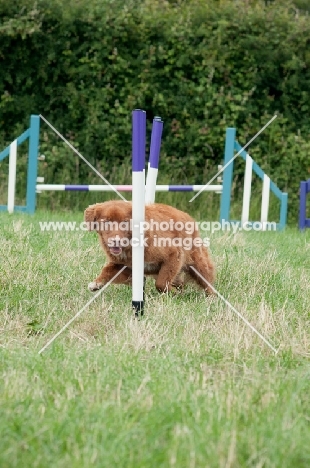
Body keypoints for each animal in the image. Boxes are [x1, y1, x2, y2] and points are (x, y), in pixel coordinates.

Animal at [85, 199, 216, 294]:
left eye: (125, 223)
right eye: (106, 222)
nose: (116, 241)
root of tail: (188, 216)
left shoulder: (173, 254)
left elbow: (161, 283)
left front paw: (172, 293)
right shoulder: (123, 266)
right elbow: (107, 270)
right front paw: (96, 283)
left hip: (198, 263)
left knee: (207, 281)